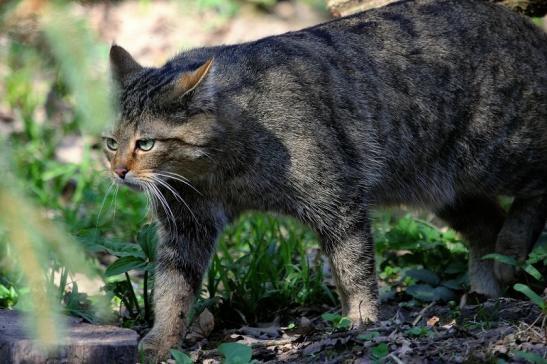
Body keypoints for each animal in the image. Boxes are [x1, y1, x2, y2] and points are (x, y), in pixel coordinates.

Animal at [106, 0, 547, 358]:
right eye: (112, 143)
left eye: (145, 143)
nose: (118, 171)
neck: (217, 172)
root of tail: (531, 30)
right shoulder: (186, 225)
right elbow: (171, 289)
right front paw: (162, 340)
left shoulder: (337, 198)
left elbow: (353, 267)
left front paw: (362, 318)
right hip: (443, 187)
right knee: (487, 225)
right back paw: (490, 282)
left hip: (497, 153)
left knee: (535, 190)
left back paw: (511, 249)